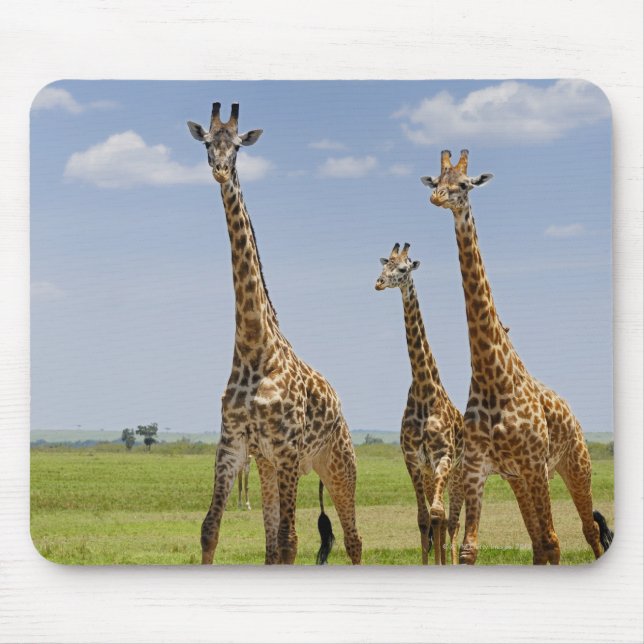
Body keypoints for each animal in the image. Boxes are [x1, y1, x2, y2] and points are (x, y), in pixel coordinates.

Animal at [187, 102, 362, 565]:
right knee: (276, 544)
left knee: (352, 540)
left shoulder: (286, 448)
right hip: (270, 465)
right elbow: (210, 529)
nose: (219, 169)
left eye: (237, 146)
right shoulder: (234, 445)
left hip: (336, 464)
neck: (252, 347)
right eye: (208, 143)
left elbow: (288, 540)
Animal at [375, 243, 464, 564]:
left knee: (451, 520)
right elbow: (424, 519)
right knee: (438, 518)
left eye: (403, 269)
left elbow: (438, 515)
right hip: (429, 474)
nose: (378, 283)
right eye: (383, 265)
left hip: (457, 473)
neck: (425, 392)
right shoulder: (413, 460)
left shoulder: (444, 458)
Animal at [420, 149, 613, 564]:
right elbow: (470, 549)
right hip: (518, 480)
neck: (493, 374)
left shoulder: (535, 464)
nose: (438, 198)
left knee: (584, 531)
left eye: (465, 184)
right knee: (539, 543)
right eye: (438, 180)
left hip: (575, 466)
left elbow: (556, 541)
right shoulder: (479, 468)